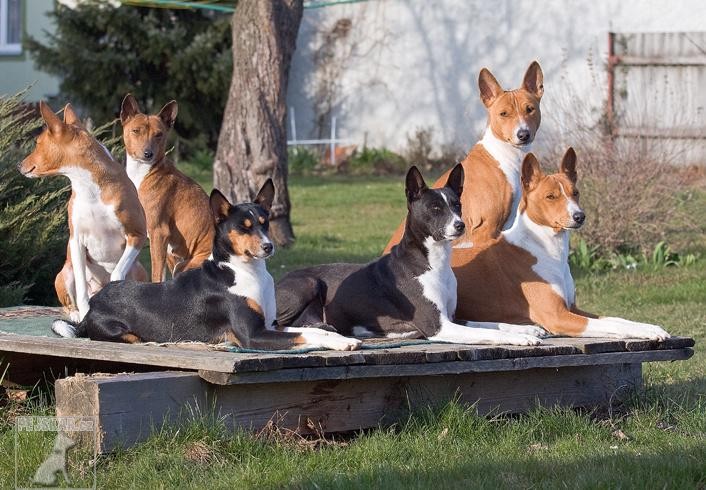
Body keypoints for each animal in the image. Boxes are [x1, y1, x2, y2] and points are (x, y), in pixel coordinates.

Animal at [20, 102, 146, 322]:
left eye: (37, 143)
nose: (19, 166)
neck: (90, 190)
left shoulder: (137, 234)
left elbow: (117, 275)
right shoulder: (76, 241)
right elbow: (80, 289)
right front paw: (86, 315)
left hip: (140, 270)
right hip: (63, 274)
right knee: (71, 300)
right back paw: (77, 314)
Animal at [52, 180, 360, 352]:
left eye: (264, 223)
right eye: (243, 227)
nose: (268, 247)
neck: (247, 273)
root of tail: (92, 305)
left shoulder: (269, 324)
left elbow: (312, 330)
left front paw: (341, 338)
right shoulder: (251, 335)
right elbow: (306, 336)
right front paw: (338, 343)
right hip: (122, 331)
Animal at [119, 94, 213, 282]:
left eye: (159, 135)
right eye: (136, 131)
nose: (148, 154)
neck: (143, 174)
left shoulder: (158, 233)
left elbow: (156, 275)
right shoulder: (166, 249)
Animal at [274, 165, 540, 344]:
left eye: (457, 205)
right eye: (435, 208)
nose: (460, 225)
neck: (433, 264)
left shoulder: (452, 318)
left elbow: (492, 324)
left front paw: (527, 329)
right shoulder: (438, 327)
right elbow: (487, 332)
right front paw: (520, 339)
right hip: (309, 283)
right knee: (277, 326)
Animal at [460, 149, 668, 340]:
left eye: (575, 193)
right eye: (550, 197)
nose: (579, 216)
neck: (550, 251)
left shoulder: (573, 308)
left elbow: (615, 319)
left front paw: (650, 327)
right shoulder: (557, 316)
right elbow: (613, 324)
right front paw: (645, 332)